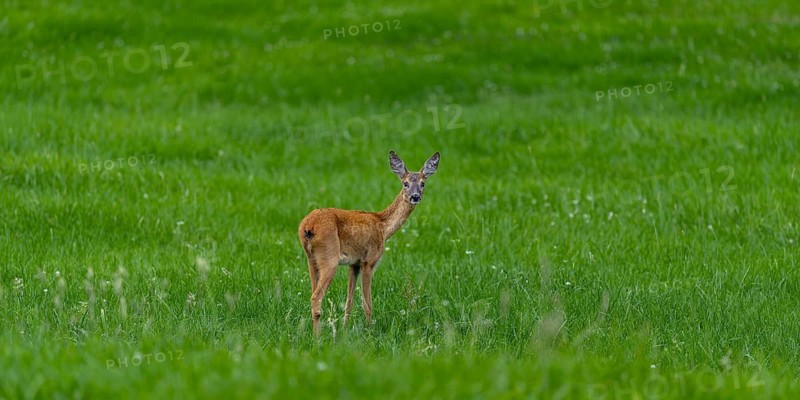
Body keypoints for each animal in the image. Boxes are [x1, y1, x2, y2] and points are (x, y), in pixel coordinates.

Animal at [298, 150, 440, 336]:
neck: (382, 227)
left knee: (313, 292)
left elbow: (349, 301)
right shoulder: (369, 260)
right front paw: (370, 331)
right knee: (316, 297)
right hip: (329, 257)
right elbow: (367, 303)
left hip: (311, 259)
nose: (415, 196)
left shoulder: (354, 264)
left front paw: (344, 330)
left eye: (423, 183)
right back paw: (317, 337)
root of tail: (308, 226)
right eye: (406, 183)